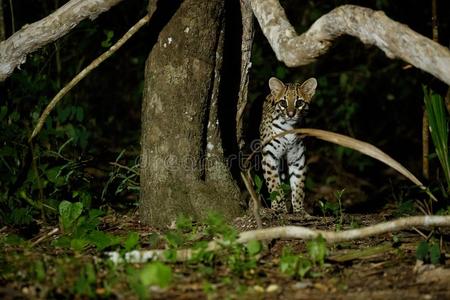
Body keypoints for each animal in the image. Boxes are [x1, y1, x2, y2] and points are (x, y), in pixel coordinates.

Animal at [258, 76, 318, 214]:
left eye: (299, 103)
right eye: (283, 103)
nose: (291, 114)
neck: (289, 128)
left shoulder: (297, 158)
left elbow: (298, 186)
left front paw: (299, 210)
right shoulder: (269, 156)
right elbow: (274, 185)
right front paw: (279, 208)